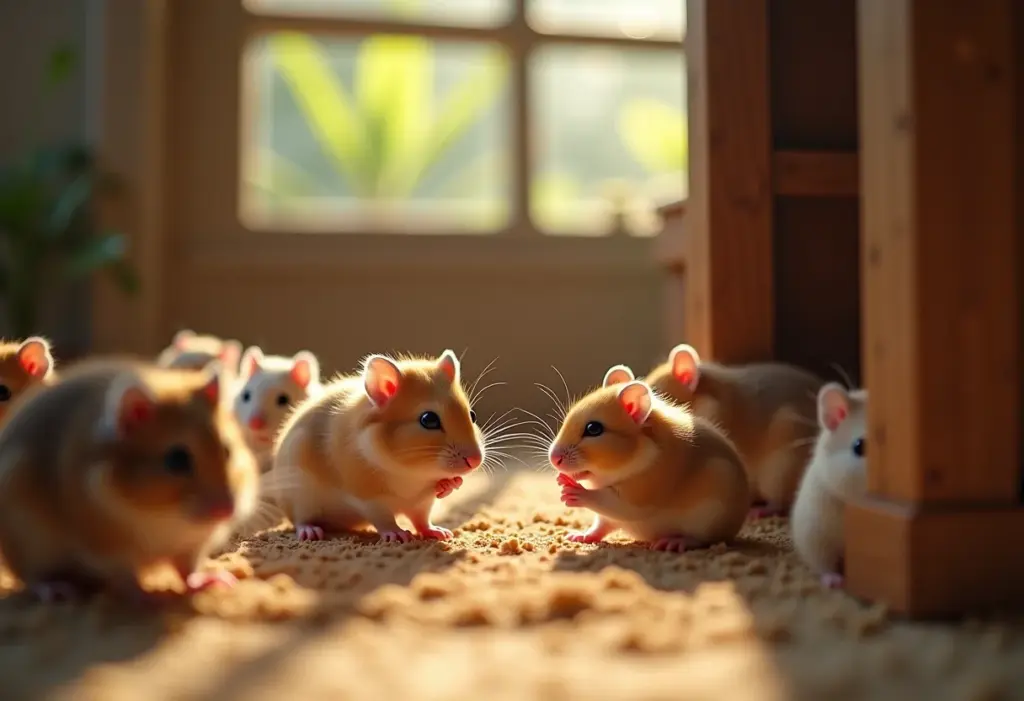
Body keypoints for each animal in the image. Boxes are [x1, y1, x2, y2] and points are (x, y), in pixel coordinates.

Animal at [0, 359, 260, 602]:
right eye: (176, 460)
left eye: (227, 450)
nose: (227, 511)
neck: (162, 515)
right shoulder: (107, 549)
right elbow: (127, 578)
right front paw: (150, 597)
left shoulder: (191, 547)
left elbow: (188, 571)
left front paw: (218, 581)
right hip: (29, 541)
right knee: (30, 577)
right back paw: (57, 591)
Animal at [266, 349, 486, 543]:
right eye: (428, 419)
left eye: (472, 415)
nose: (475, 461)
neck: (409, 472)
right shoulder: (369, 498)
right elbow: (384, 519)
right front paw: (398, 534)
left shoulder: (422, 501)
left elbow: (422, 519)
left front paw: (448, 492)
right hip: (301, 498)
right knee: (300, 520)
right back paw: (310, 532)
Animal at [551, 378, 750, 552]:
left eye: (593, 429)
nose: (553, 459)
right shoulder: (606, 515)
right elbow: (601, 522)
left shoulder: (642, 492)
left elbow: (611, 503)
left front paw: (574, 492)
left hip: (709, 519)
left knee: (703, 539)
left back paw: (677, 541)